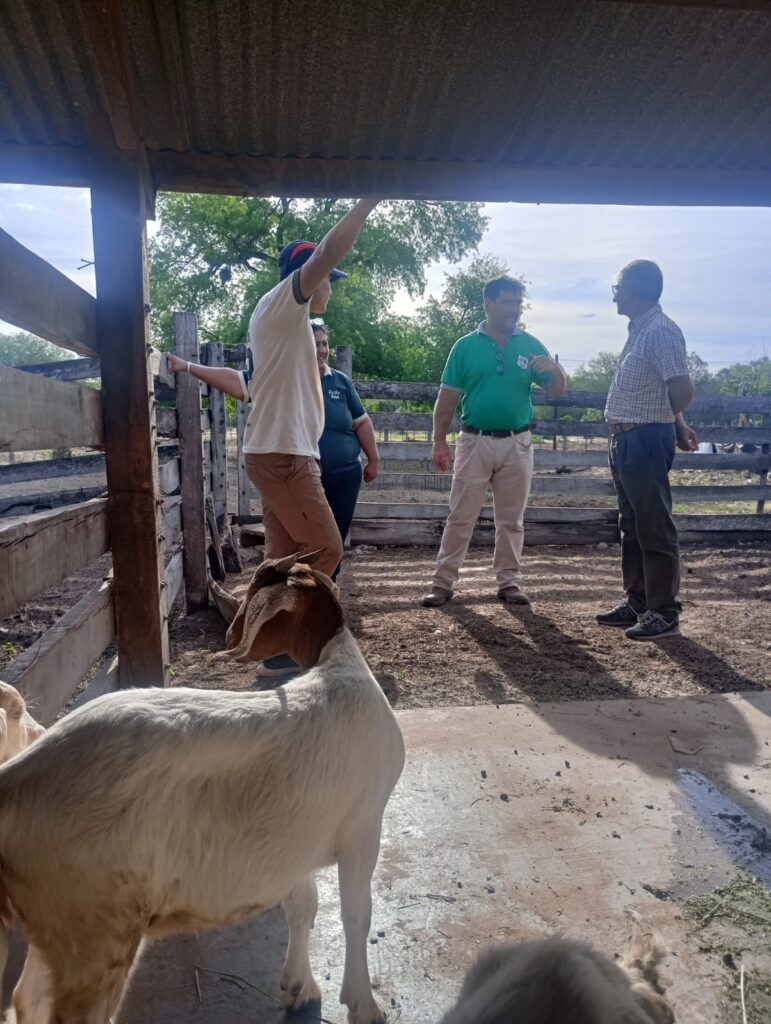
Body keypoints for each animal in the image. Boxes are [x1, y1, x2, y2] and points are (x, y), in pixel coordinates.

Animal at [0, 552, 405, 1024]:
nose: (228, 635)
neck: (337, 666)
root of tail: (16, 777)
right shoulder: (364, 826)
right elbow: (357, 914)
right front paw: (364, 1004)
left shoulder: (298, 841)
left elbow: (304, 904)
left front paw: (298, 986)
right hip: (93, 927)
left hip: (58, 923)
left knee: (26, 997)